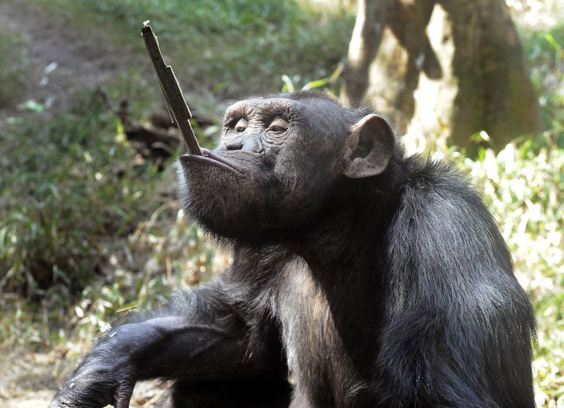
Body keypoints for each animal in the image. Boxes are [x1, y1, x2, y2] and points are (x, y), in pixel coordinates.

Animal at [50, 91, 536, 408]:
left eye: (277, 128)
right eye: (237, 126)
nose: (232, 144)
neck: (335, 230)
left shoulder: (445, 229)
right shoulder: (261, 244)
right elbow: (238, 330)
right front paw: (100, 370)